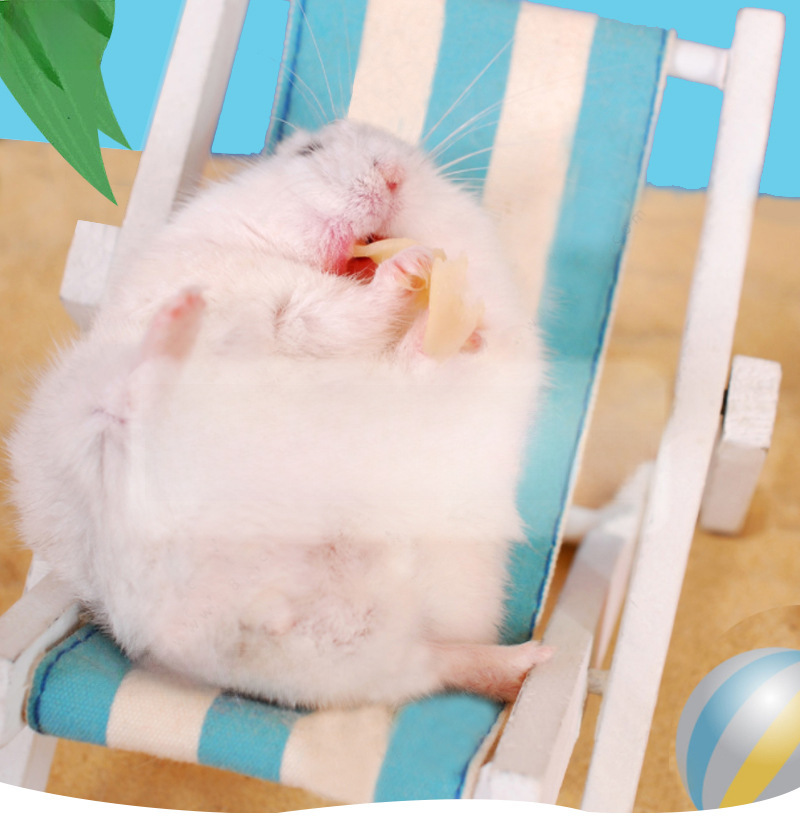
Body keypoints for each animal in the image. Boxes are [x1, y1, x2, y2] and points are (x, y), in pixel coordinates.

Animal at [8, 119, 551, 709]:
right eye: (309, 151)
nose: (394, 175)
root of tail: (254, 608)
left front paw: (460, 316)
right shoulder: (290, 302)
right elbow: (343, 313)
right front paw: (414, 265)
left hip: (359, 650)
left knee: (436, 661)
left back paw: (531, 662)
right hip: (104, 438)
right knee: (139, 400)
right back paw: (181, 318)